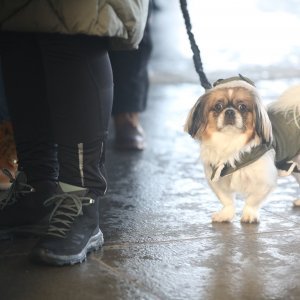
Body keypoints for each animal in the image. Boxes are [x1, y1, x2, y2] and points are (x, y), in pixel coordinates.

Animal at [184, 75, 300, 223]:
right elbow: (226, 200)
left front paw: (249, 215)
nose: (229, 111)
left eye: (242, 107)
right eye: (218, 106)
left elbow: (252, 201)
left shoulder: (264, 180)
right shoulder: (217, 176)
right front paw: (225, 215)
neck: (230, 141)